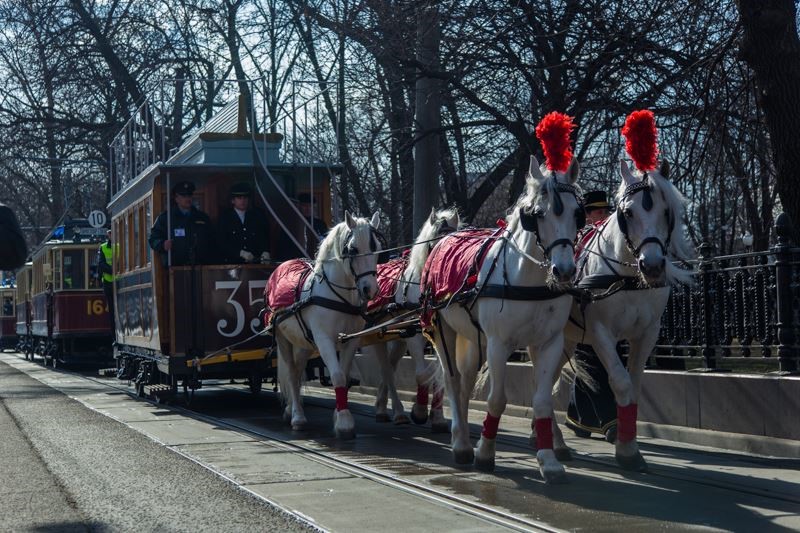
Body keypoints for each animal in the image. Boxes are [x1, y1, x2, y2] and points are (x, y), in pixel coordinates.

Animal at [276, 210, 382, 438]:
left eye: (376, 247)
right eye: (352, 249)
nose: (369, 289)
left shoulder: (350, 340)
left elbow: (344, 375)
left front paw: (339, 413)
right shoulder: (324, 339)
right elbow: (338, 376)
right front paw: (344, 423)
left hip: (303, 343)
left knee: (297, 372)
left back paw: (291, 409)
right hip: (283, 339)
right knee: (291, 373)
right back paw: (297, 416)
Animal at [366, 207, 460, 428]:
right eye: (435, 243)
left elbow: (440, 373)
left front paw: (438, 417)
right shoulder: (415, 336)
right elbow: (423, 374)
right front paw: (419, 411)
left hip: (398, 337)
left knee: (391, 366)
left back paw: (383, 406)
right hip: (378, 336)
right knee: (386, 369)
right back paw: (392, 411)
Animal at [424, 155, 580, 482]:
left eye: (577, 213)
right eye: (537, 214)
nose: (564, 271)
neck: (528, 279)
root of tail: (445, 237)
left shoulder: (549, 343)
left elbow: (542, 401)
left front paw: (548, 460)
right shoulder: (499, 344)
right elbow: (497, 399)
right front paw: (485, 453)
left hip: (474, 339)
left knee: (466, 382)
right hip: (443, 330)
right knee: (453, 381)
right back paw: (461, 443)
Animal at [548, 158, 696, 470]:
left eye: (667, 211)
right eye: (628, 212)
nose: (652, 266)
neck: (628, 278)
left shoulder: (647, 333)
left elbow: (635, 385)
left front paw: (627, 440)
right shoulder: (600, 332)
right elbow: (620, 381)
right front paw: (626, 450)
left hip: (565, 339)